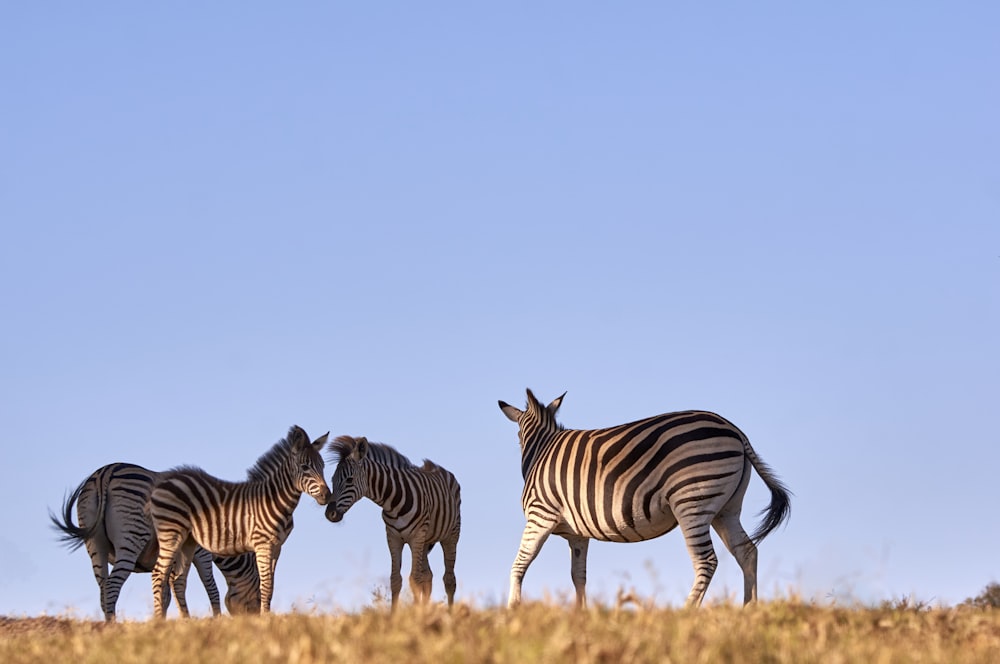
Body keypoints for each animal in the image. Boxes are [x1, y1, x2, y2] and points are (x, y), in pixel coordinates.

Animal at [146, 426, 330, 616]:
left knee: (178, 579)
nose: (327, 496)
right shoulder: (262, 544)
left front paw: (267, 615)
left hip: (188, 541)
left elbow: (270, 586)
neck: (275, 499)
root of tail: (165, 480)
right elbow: (266, 585)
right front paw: (265, 618)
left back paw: (186, 620)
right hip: (171, 534)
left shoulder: (277, 547)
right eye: (305, 467)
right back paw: (159, 619)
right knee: (158, 575)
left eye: (323, 466)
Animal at [326, 434, 462, 608]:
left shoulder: (416, 536)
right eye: (332, 480)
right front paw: (396, 614)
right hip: (425, 541)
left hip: (450, 535)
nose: (329, 514)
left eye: (349, 480)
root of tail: (436, 467)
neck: (393, 502)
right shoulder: (393, 537)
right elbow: (396, 580)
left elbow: (414, 579)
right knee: (428, 576)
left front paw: (415, 613)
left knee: (449, 579)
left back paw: (449, 613)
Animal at [496, 390, 792, 612]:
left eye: (518, 437)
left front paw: (512, 610)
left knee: (707, 561)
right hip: (725, 510)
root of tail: (736, 431)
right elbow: (578, 576)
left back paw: (686, 612)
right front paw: (581, 615)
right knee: (747, 552)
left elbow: (520, 564)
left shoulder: (540, 515)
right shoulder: (578, 534)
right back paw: (749, 610)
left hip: (691, 503)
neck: (541, 449)